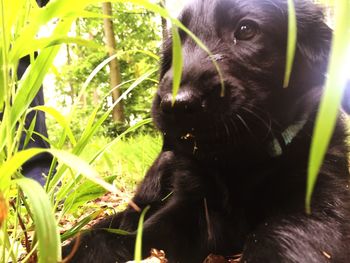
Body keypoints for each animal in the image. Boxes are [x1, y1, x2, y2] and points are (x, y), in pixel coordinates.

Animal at [63, 0, 350, 263]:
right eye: (175, 46)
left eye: (246, 29)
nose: (175, 104)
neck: (238, 160)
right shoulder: (189, 206)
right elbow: (132, 236)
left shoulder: (319, 204)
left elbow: (279, 237)